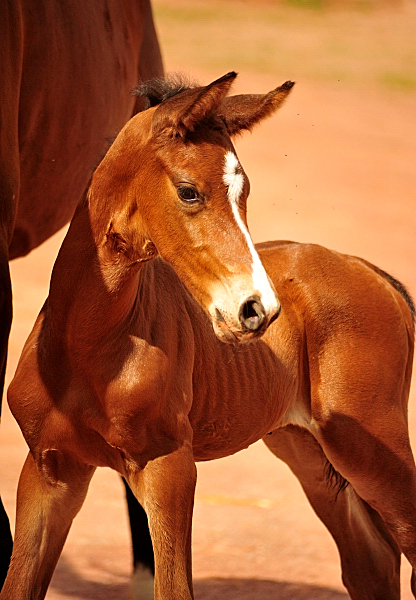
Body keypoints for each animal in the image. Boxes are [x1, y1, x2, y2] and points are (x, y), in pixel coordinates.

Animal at [1, 71, 414, 600]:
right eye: (188, 192)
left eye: (245, 193)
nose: (259, 310)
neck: (86, 346)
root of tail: (372, 271)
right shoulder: (50, 470)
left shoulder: (169, 467)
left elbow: (175, 588)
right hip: (309, 452)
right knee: (371, 561)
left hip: (372, 446)